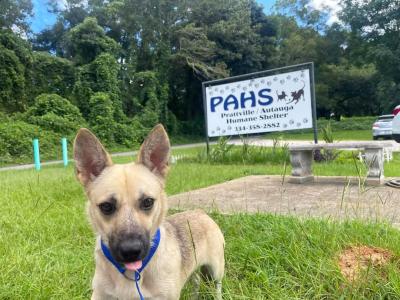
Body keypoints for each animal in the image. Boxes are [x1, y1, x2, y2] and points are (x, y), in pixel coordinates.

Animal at [74, 123, 225, 298]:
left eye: (148, 202)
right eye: (106, 206)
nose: (131, 251)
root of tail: (200, 212)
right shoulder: (100, 294)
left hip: (216, 271)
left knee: (217, 286)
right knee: (196, 281)